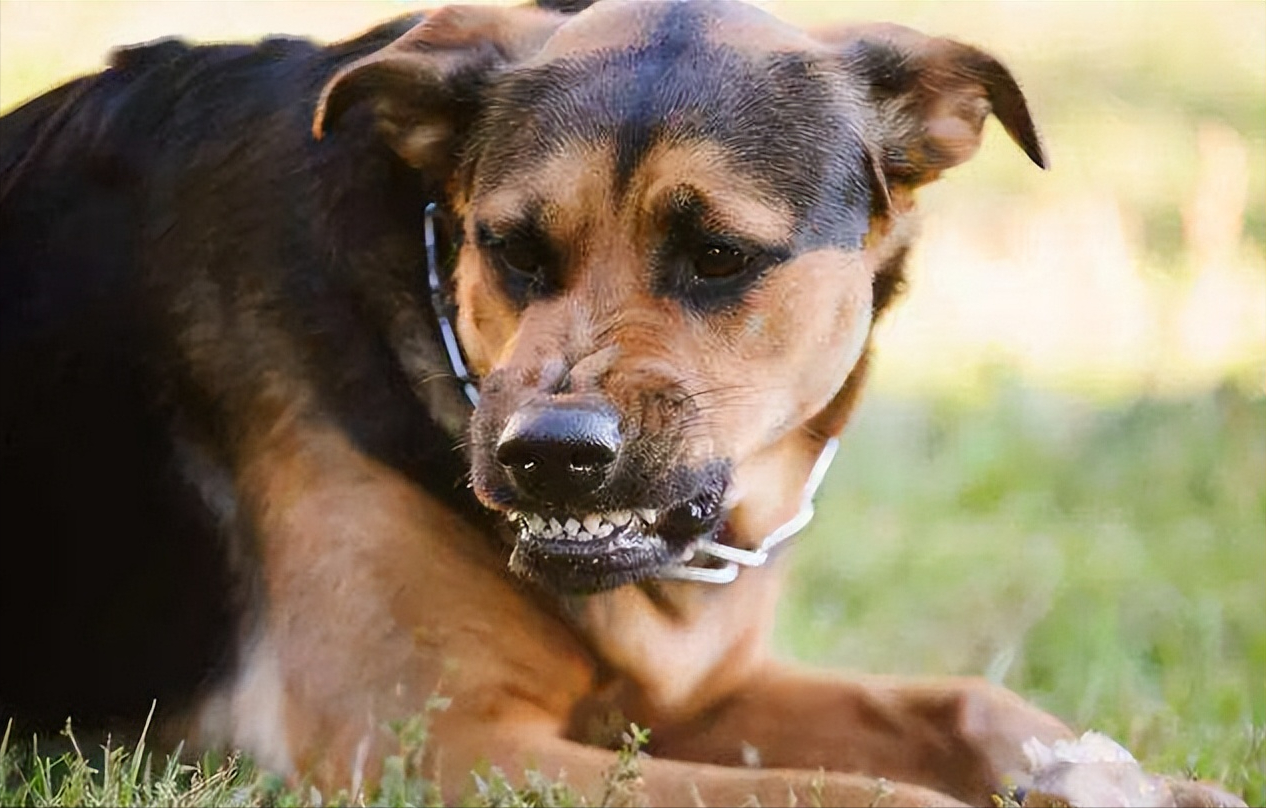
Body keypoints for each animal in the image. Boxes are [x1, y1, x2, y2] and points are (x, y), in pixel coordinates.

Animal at [0, 1, 1245, 808]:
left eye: (718, 254)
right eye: (512, 248)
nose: (548, 455)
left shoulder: (693, 689)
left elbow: (961, 701)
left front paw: (1127, 780)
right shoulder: (427, 741)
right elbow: (855, 791)